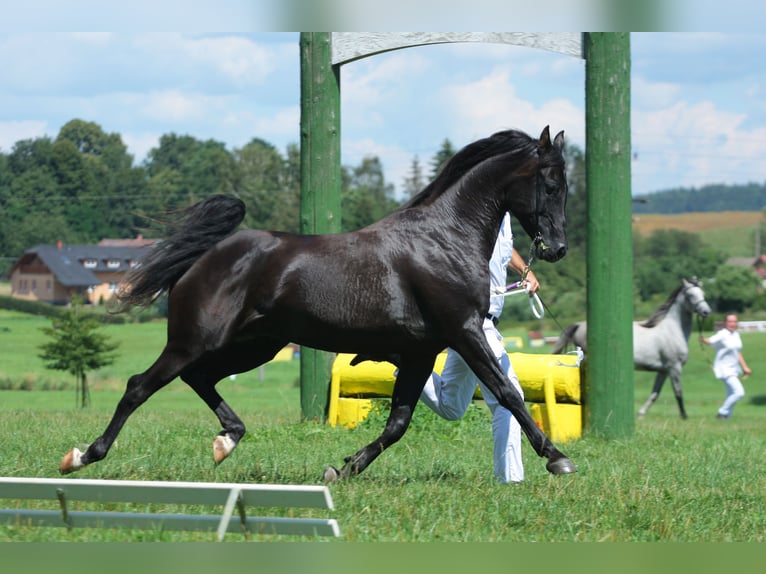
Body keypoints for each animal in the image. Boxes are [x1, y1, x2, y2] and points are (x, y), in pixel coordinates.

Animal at [60, 126, 576, 482]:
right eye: (551, 185)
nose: (557, 249)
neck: (442, 239)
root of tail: (205, 255)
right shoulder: (464, 331)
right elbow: (507, 392)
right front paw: (557, 458)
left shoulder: (420, 352)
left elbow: (398, 422)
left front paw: (342, 468)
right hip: (195, 340)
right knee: (139, 386)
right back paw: (82, 455)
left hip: (256, 345)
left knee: (199, 378)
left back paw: (227, 439)